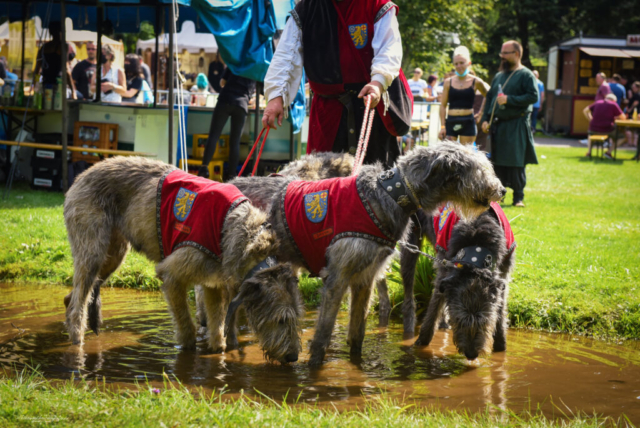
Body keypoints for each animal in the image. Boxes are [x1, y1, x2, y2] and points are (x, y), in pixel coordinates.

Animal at [63, 157, 304, 364]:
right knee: (78, 303)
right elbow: (187, 328)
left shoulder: (213, 282)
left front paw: (218, 350)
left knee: (73, 296)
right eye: (281, 319)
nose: (293, 357)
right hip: (93, 250)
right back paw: (77, 345)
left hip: (113, 255)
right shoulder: (172, 276)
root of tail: (81, 175)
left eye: (296, 319)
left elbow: (217, 324)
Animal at [230, 143, 504, 364]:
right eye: (479, 168)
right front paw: (314, 369)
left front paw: (357, 366)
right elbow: (323, 334)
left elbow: (357, 334)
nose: (502, 190)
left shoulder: (365, 277)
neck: (389, 193)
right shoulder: (338, 276)